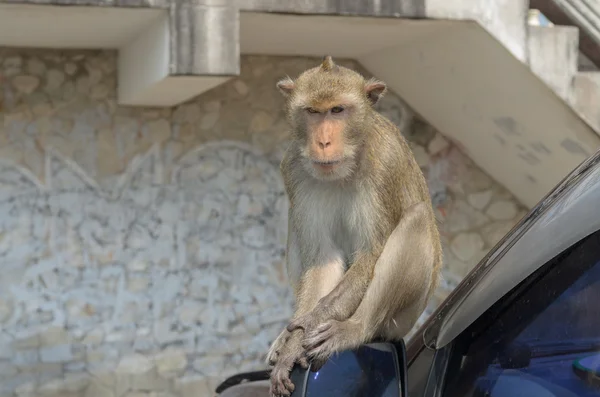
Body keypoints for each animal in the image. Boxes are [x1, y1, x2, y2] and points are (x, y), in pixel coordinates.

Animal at [264, 55, 442, 396]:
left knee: (417, 219)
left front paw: (307, 328)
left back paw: (354, 330)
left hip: (404, 318)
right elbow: (322, 262)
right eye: (313, 112)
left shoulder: (384, 163)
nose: (323, 141)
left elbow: (370, 256)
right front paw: (292, 341)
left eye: (337, 110)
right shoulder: (293, 168)